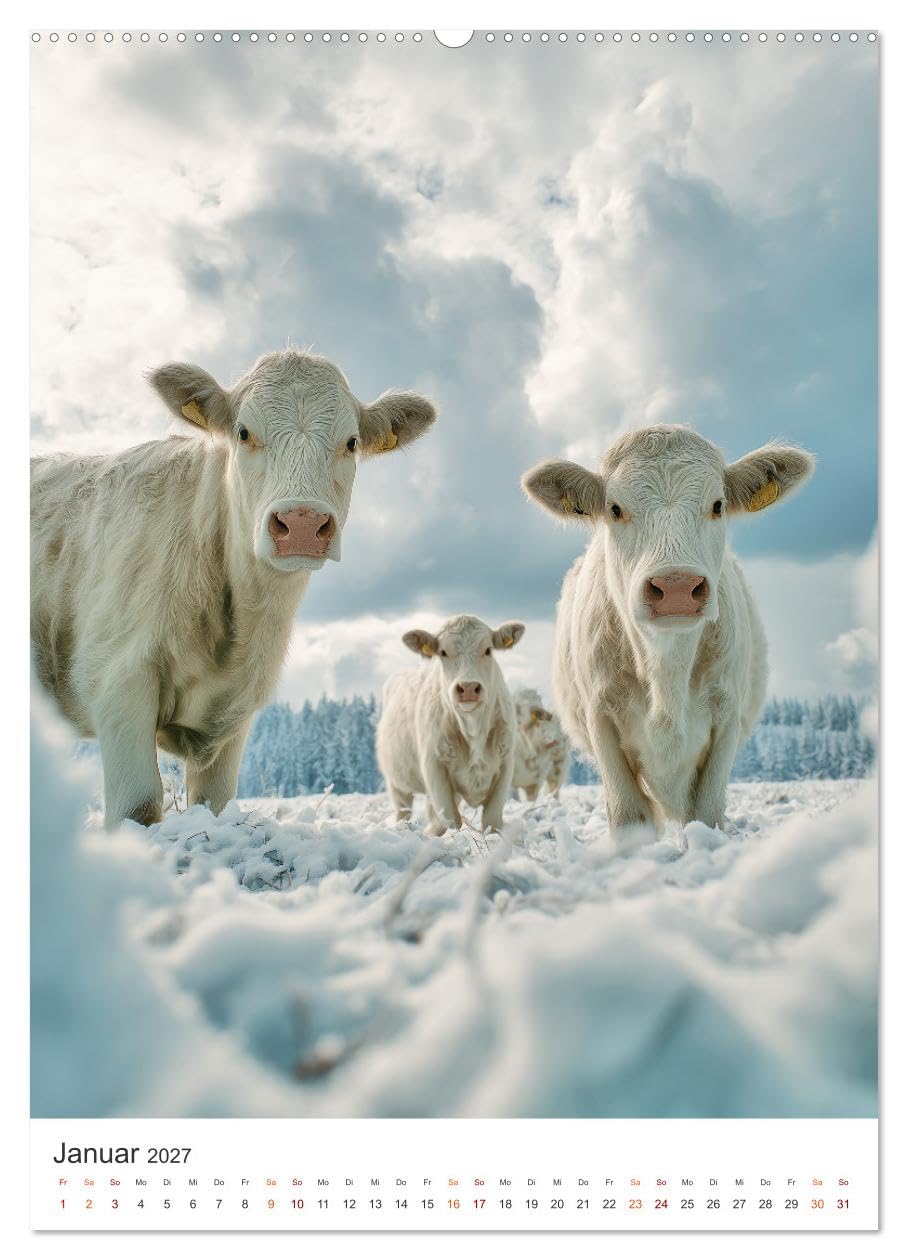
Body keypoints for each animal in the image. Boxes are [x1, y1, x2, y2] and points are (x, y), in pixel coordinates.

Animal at [31, 349, 437, 828]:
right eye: (244, 432)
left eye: (352, 442)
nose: (301, 523)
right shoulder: (118, 681)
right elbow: (139, 806)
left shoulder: (234, 713)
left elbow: (215, 803)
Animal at [376, 615, 525, 836]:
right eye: (443, 652)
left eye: (488, 650)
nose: (469, 687)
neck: (473, 730)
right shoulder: (434, 766)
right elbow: (450, 820)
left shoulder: (505, 763)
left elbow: (492, 820)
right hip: (396, 782)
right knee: (404, 809)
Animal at [521, 424, 814, 835]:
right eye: (615, 508)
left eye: (718, 505)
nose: (676, 587)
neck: (666, 672)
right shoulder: (601, 720)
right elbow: (628, 815)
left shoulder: (727, 717)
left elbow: (707, 813)